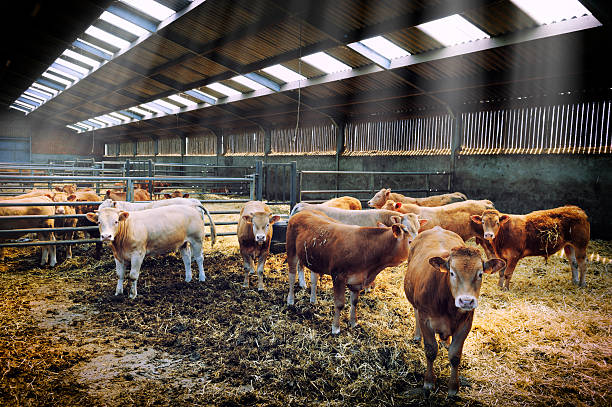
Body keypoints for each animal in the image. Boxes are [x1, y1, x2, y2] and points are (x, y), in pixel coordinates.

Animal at [286, 210, 418, 334]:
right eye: (410, 241)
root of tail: (303, 212)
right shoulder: (338, 276)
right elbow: (339, 303)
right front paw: (335, 328)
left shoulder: (356, 280)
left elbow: (354, 301)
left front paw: (353, 322)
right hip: (291, 251)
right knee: (292, 276)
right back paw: (290, 300)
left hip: (314, 258)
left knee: (314, 279)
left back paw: (313, 300)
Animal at [402, 226, 502, 396]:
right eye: (452, 272)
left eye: (480, 274)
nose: (466, 301)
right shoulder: (425, 320)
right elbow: (430, 350)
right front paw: (429, 381)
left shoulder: (466, 323)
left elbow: (455, 355)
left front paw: (453, 388)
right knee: (415, 313)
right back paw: (417, 336)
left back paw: (446, 342)